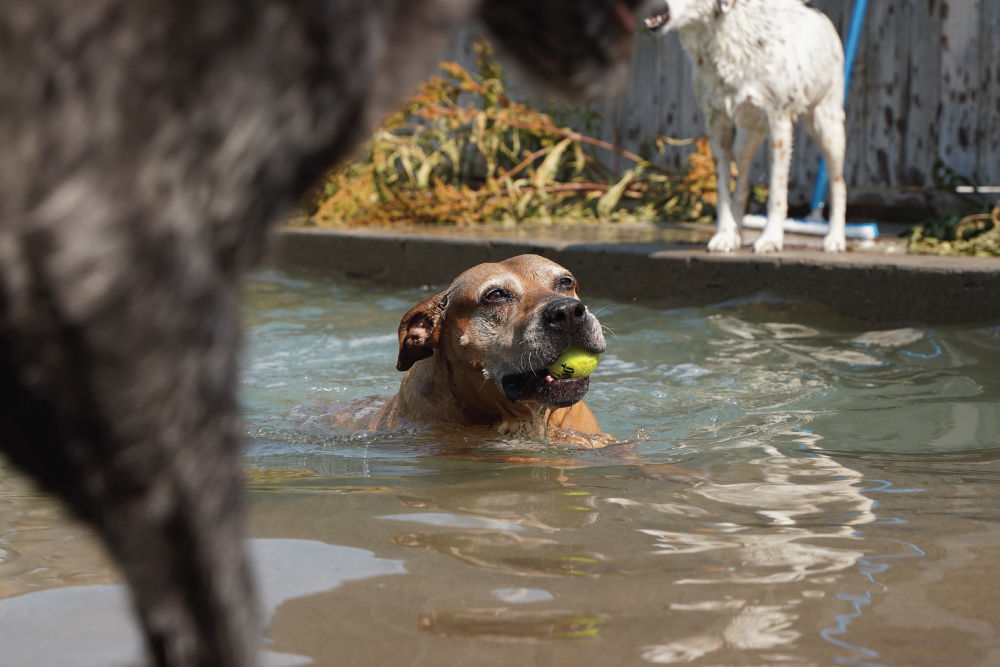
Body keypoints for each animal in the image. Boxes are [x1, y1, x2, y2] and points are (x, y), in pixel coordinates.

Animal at [648, 0, 844, 253]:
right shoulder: (716, 124)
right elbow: (723, 189)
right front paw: (724, 235)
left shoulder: (779, 124)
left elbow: (777, 191)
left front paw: (771, 238)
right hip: (745, 139)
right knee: (742, 184)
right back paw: (736, 233)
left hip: (828, 129)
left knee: (839, 183)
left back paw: (836, 238)